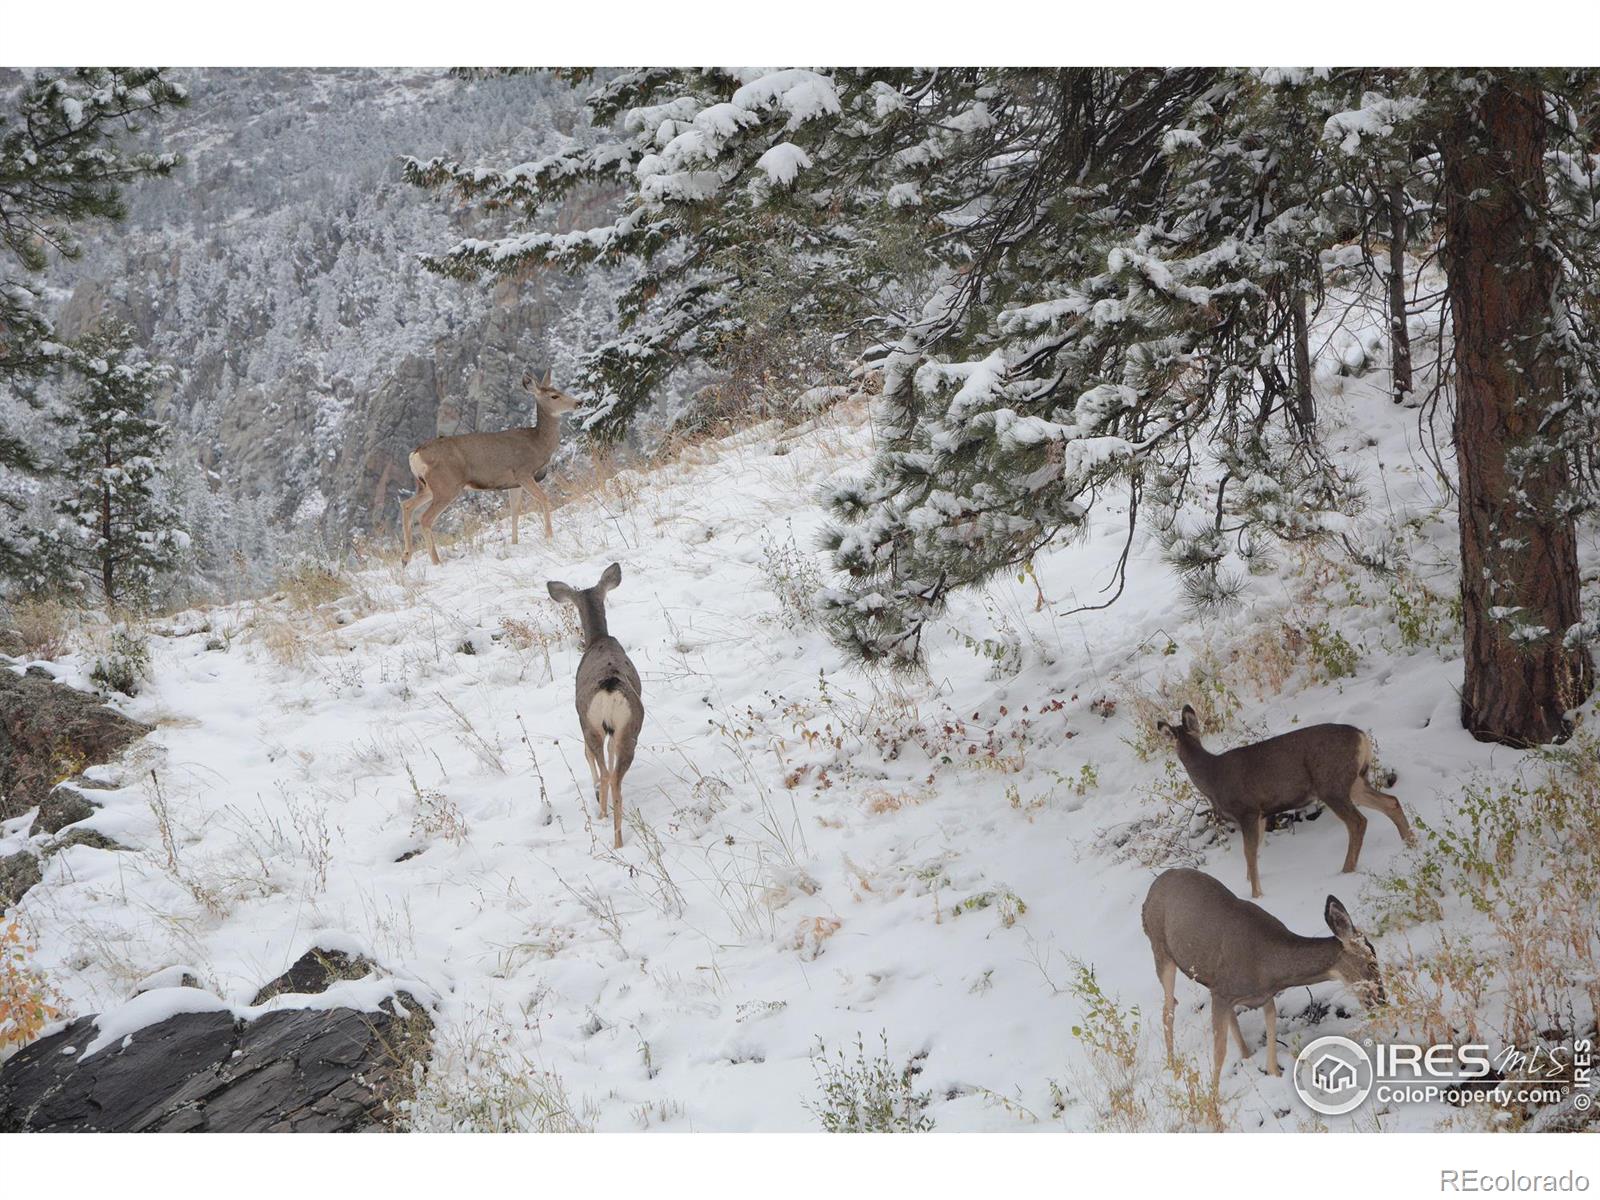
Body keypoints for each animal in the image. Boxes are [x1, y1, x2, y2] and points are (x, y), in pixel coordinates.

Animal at [400, 369, 582, 569]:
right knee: (425, 518)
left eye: (559, 390)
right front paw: (549, 536)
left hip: (427, 486)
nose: (578, 402)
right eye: (554, 396)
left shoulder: (514, 483)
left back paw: (406, 557)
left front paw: (514, 543)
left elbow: (515, 510)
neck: (538, 443)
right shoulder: (523, 472)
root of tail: (415, 454)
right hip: (446, 485)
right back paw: (436, 562)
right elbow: (543, 498)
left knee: (406, 505)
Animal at [550, 566, 643, 857]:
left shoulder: (583, 721)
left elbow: (587, 755)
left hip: (590, 724)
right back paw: (618, 838)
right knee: (614, 774)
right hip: (629, 728)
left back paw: (604, 817)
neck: (598, 640)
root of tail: (609, 688)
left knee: (603, 772)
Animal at [1139, 870, 1388, 1094]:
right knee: (1168, 1008)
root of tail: (1149, 893)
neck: (1269, 966)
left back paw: (1246, 1056)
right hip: (1161, 951)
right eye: (1371, 963)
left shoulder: (1263, 995)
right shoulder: (1222, 992)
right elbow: (1219, 1052)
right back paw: (1172, 1067)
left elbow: (1271, 1031)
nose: (1382, 1001)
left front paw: (1274, 1075)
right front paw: (1214, 1102)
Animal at [1164, 704, 1414, 902]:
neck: (1212, 779)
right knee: (1391, 801)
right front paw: (1250, 882)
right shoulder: (1261, 814)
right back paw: (1409, 842)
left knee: (1358, 822)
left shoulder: (1247, 810)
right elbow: (1256, 850)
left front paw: (1256, 895)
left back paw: (1346, 870)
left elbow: (1248, 851)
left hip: (1331, 784)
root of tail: (1361, 736)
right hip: (1355, 782)